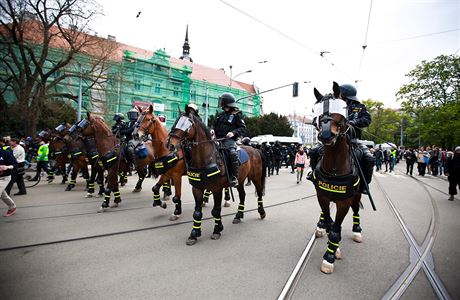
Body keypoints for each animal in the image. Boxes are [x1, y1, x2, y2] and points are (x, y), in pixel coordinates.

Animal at [166, 109, 266, 245]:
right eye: (176, 122)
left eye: (187, 125)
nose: (170, 145)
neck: (206, 158)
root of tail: (255, 149)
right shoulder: (197, 188)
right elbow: (197, 212)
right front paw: (194, 234)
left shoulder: (217, 189)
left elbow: (216, 210)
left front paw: (217, 230)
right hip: (240, 180)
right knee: (242, 195)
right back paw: (238, 216)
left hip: (256, 178)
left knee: (259, 193)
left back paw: (261, 212)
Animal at [310, 82, 364, 274]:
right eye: (316, 111)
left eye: (341, 109)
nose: (326, 135)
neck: (334, 168)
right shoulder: (322, 196)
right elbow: (329, 224)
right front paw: (334, 248)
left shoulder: (344, 202)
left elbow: (336, 229)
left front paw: (329, 257)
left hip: (357, 195)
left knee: (356, 210)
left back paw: (357, 230)